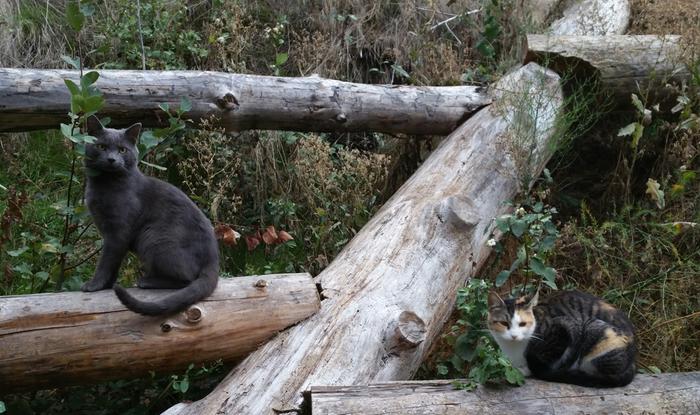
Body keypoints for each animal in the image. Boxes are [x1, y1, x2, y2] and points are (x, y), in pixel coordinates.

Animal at [79, 115, 217, 316]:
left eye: (122, 149)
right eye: (102, 147)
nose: (112, 159)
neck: (104, 185)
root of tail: (213, 259)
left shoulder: (118, 232)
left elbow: (105, 261)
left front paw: (94, 285)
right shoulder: (111, 234)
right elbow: (113, 262)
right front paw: (107, 285)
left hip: (154, 237)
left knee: (187, 277)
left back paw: (147, 281)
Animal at [490, 290, 636, 388]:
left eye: (522, 324)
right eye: (504, 323)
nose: (514, 335)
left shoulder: (564, 327)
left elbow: (543, 362)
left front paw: (527, 370)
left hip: (596, 330)